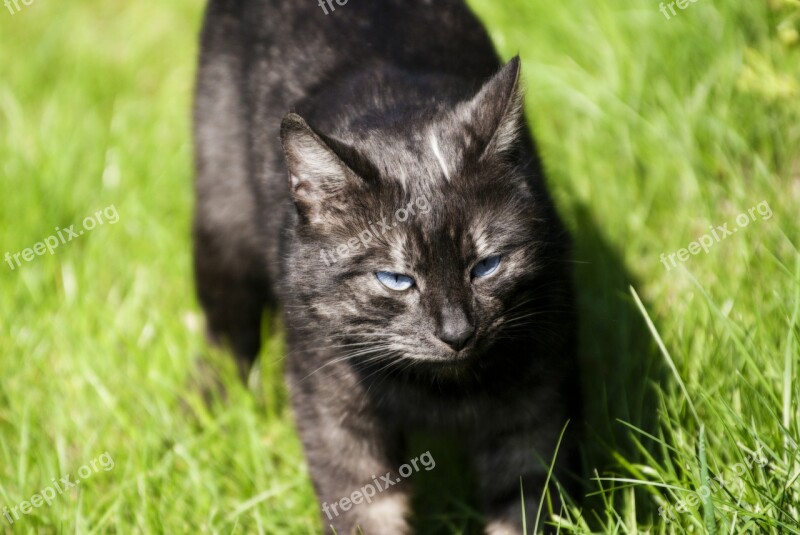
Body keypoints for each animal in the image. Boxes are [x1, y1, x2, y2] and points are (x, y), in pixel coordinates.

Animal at [194, 2, 580, 532]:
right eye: (395, 279)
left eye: (486, 266)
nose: (458, 334)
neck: (439, 393)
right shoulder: (335, 414)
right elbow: (364, 510)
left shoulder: (533, 402)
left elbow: (525, 503)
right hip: (222, 229)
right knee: (224, 336)